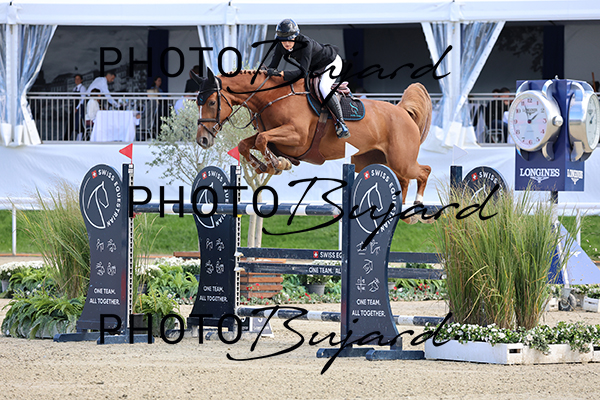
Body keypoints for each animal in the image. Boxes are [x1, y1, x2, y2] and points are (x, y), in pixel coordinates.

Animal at [192, 68, 432, 223]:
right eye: (197, 103)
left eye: (211, 102)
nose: (202, 140)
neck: (272, 97)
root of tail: (401, 110)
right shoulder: (274, 137)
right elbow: (247, 144)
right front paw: (265, 166)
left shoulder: (297, 138)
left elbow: (261, 141)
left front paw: (278, 164)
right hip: (369, 160)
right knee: (403, 179)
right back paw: (403, 213)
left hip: (401, 160)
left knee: (423, 171)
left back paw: (417, 207)